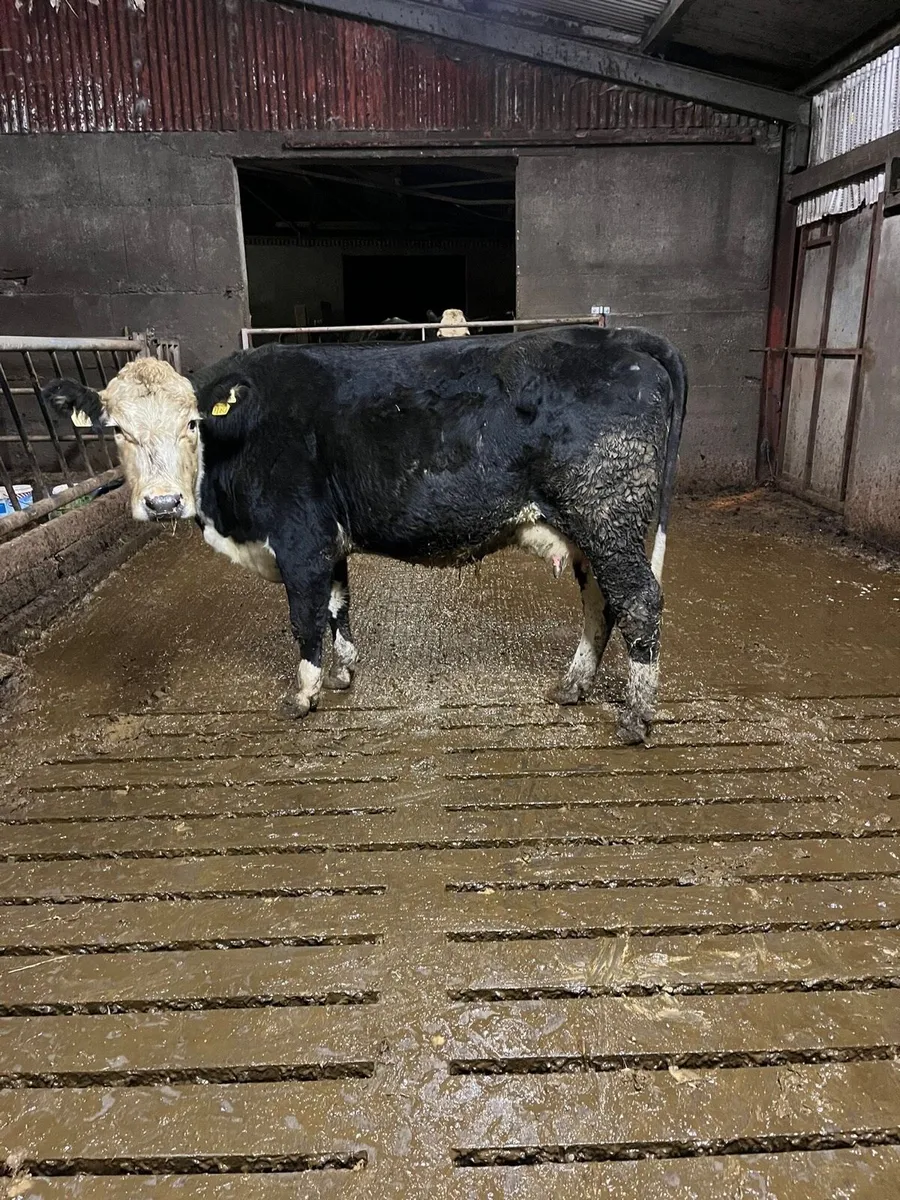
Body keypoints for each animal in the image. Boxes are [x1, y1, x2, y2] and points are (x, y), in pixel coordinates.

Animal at [44, 325, 686, 743]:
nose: (162, 502)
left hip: (607, 513)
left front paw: (303, 696)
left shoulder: (300, 540)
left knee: (639, 600)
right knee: (601, 602)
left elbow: (305, 619)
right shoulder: (328, 541)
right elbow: (338, 605)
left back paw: (635, 718)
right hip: (588, 528)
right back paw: (573, 686)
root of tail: (623, 339)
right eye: (117, 430)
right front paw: (344, 673)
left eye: (192, 423)